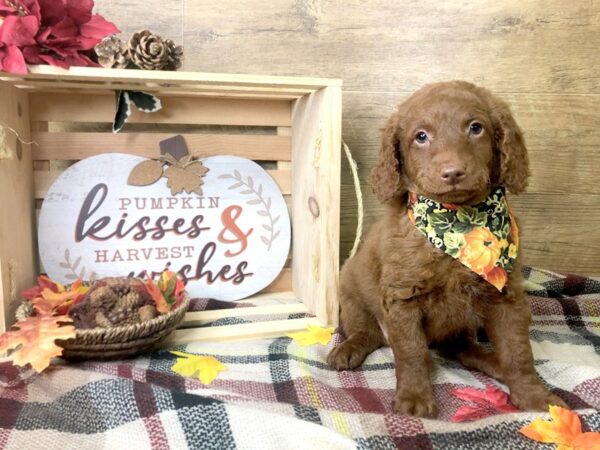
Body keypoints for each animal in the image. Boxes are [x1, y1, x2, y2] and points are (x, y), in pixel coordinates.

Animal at [328, 81, 568, 418]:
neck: (459, 223)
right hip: (351, 291)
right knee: (368, 332)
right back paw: (347, 350)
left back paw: (494, 363)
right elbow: (411, 352)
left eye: (476, 128)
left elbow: (519, 351)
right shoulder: (402, 298)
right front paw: (414, 399)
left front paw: (534, 395)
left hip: (461, 324)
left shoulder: (506, 297)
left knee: (459, 348)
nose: (453, 172)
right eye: (421, 136)